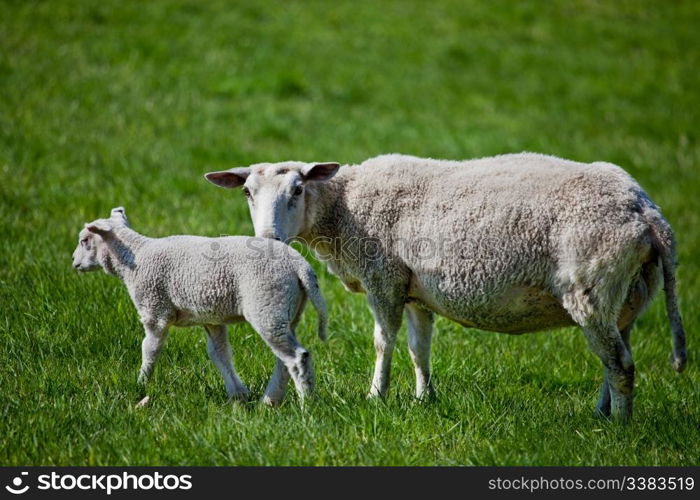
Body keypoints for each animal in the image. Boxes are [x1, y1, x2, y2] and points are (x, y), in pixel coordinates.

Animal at [69, 207, 326, 406]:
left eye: (84, 241)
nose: (73, 262)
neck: (136, 258)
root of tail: (300, 266)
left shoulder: (155, 310)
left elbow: (149, 349)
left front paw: (141, 385)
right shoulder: (212, 320)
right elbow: (219, 354)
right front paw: (238, 394)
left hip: (267, 304)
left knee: (297, 357)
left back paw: (306, 404)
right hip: (287, 310)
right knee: (284, 359)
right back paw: (270, 401)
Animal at [205, 151, 688, 418]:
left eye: (298, 190)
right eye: (247, 192)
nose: (268, 240)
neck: (344, 208)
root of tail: (647, 212)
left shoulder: (384, 276)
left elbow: (383, 342)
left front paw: (376, 396)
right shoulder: (415, 288)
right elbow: (419, 349)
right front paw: (424, 399)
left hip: (592, 286)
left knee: (620, 364)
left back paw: (618, 427)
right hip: (626, 295)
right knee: (616, 356)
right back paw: (602, 413)